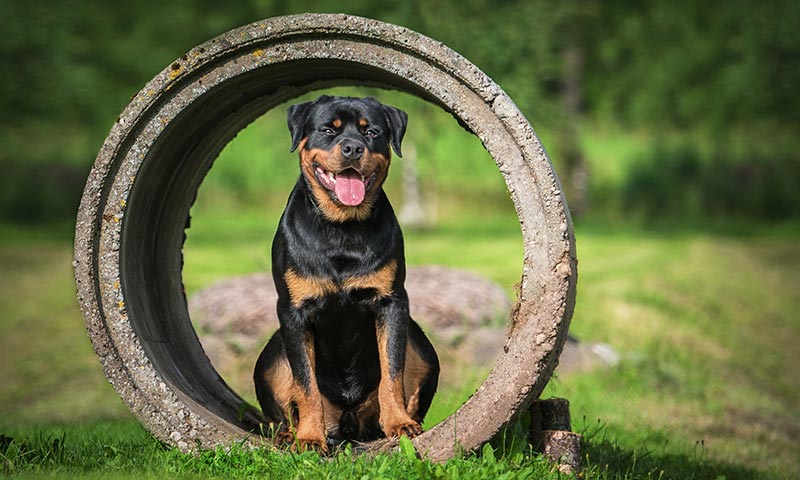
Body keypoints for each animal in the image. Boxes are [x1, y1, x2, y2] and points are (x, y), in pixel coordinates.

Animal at [253, 95, 438, 452]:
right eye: (328, 130)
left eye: (372, 132)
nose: (352, 147)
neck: (342, 228)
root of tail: (349, 420)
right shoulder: (293, 311)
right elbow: (305, 383)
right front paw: (310, 437)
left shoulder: (392, 303)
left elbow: (392, 370)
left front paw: (399, 423)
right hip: (271, 358)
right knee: (282, 407)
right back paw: (289, 434)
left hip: (422, 347)